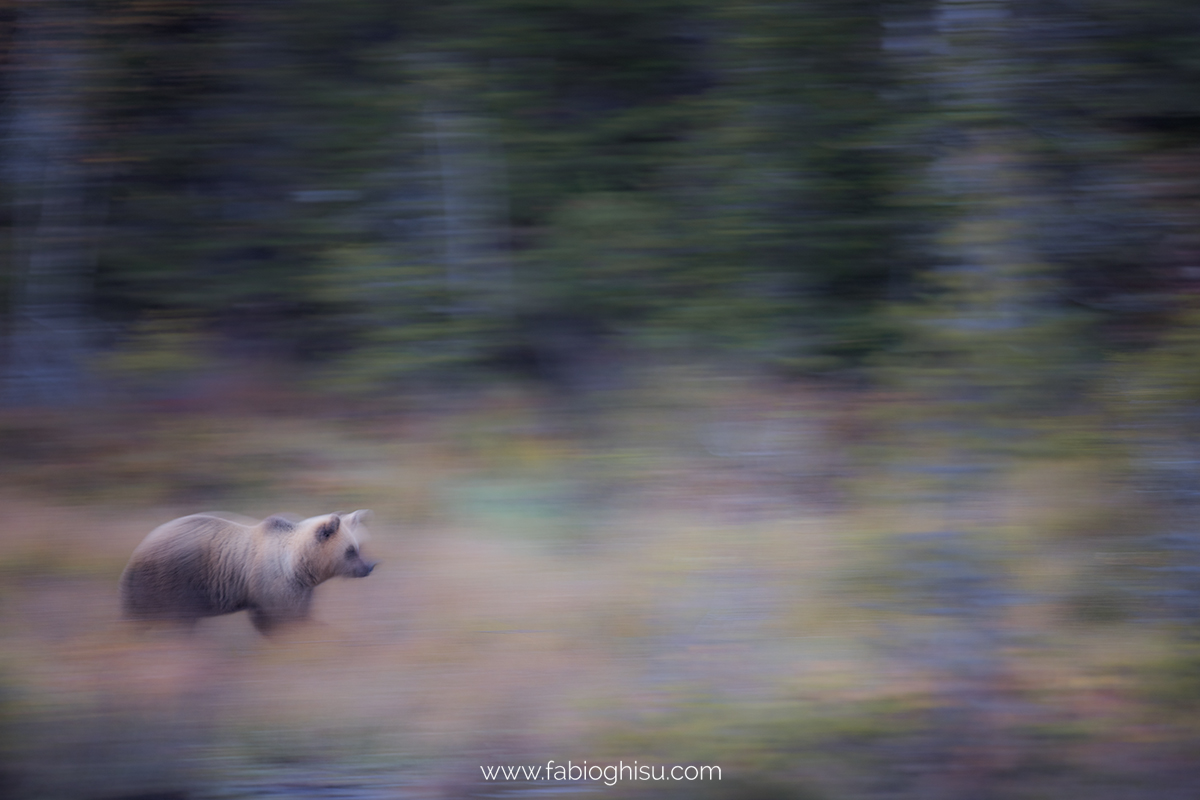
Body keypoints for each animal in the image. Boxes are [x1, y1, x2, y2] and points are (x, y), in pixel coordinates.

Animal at [121, 510, 374, 633]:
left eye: (358, 547)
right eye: (351, 550)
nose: (369, 566)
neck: (299, 566)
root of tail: (136, 554)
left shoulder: (299, 588)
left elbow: (298, 614)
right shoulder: (274, 584)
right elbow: (281, 619)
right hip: (171, 580)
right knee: (173, 619)